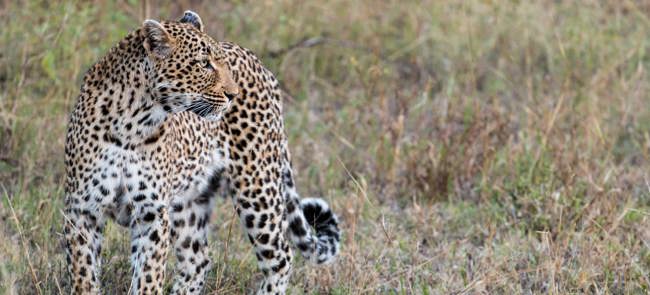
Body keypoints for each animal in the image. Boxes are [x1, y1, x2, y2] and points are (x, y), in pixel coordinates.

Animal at [63, 10, 342, 294]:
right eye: (204, 64)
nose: (233, 94)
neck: (132, 123)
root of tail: (258, 62)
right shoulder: (82, 209)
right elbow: (83, 273)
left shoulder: (152, 213)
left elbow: (148, 276)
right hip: (190, 201)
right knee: (197, 259)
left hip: (257, 188)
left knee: (281, 256)